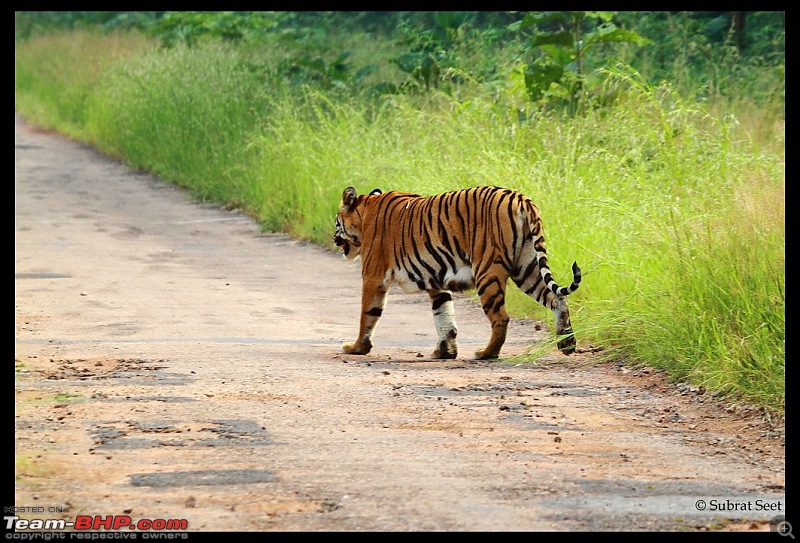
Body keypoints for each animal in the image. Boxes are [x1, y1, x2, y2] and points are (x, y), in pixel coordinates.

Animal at [332, 186, 580, 362]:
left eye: (336, 222)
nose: (334, 239)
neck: (365, 210)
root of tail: (520, 198)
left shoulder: (373, 277)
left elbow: (367, 314)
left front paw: (356, 348)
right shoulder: (436, 280)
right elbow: (444, 316)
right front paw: (445, 352)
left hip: (487, 271)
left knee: (501, 317)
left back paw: (486, 353)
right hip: (527, 267)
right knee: (557, 298)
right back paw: (567, 343)